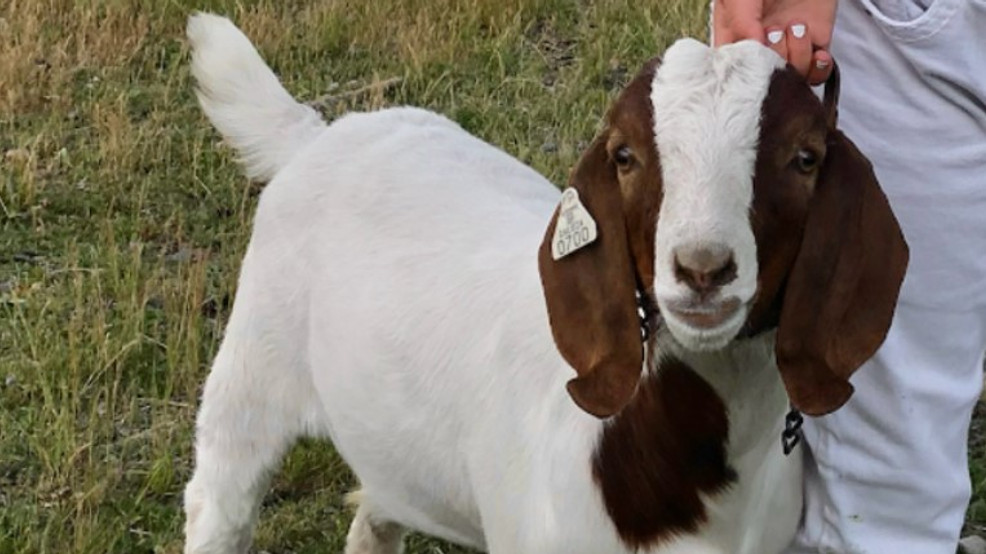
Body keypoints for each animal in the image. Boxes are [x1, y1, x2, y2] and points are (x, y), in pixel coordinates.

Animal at [183, 13, 908, 554]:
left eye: (805, 158)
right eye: (624, 156)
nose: (702, 269)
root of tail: (317, 136)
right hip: (253, 367)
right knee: (220, 497)